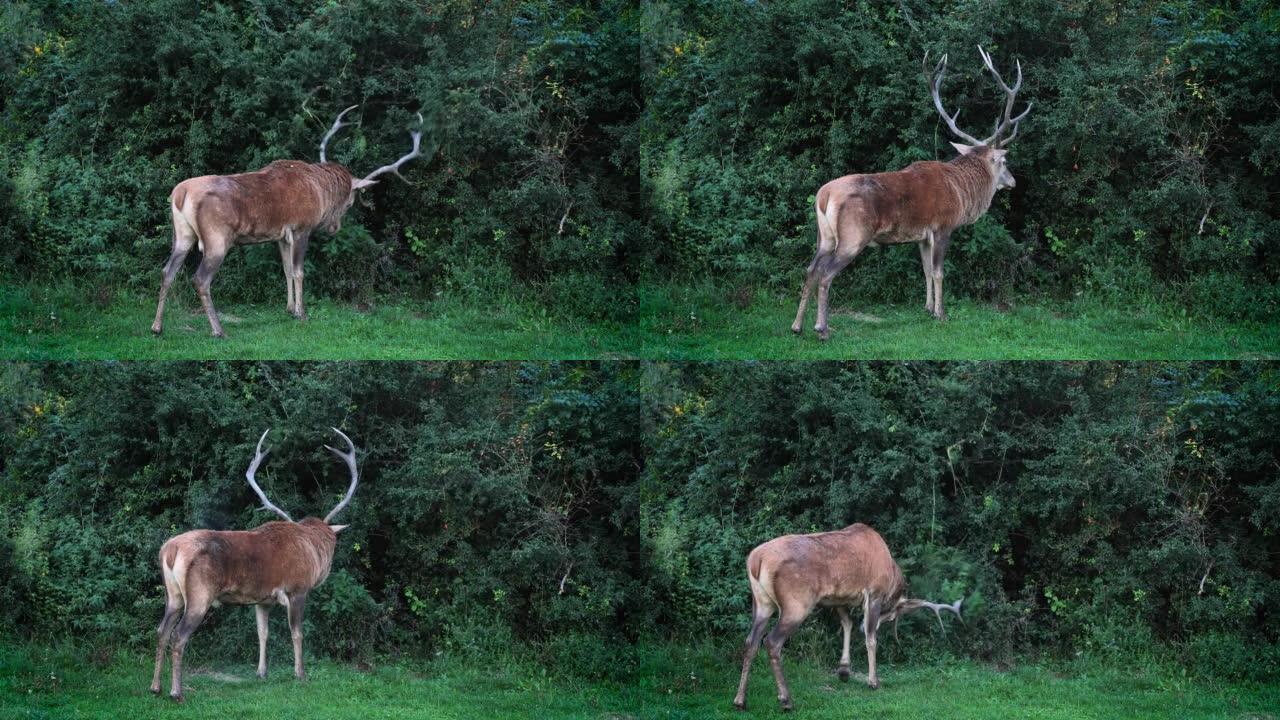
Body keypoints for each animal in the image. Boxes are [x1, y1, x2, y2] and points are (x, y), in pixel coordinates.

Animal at [150, 427, 360, 696]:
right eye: (333, 543)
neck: (313, 550)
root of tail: (170, 550)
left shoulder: (263, 600)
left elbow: (262, 633)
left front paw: (261, 672)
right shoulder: (297, 589)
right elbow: (297, 633)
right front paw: (300, 674)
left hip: (172, 594)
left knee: (162, 631)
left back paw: (155, 687)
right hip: (199, 595)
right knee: (179, 635)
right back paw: (177, 692)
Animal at [152, 107, 424, 338]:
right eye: (350, 201)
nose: (335, 228)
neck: (320, 192)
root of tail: (180, 194)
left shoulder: (281, 235)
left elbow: (286, 269)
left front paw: (290, 308)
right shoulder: (302, 228)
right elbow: (299, 271)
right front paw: (302, 314)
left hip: (182, 235)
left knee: (167, 271)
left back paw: (157, 327)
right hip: (216, 238)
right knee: (200, 279)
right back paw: (218, 330)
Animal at [732, 517, 962, 707]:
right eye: (891, 615)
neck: (891, 574)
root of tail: (756, 560)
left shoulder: (837, 597)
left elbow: (847, 624)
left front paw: (844, 670)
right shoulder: (874, 592)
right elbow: (871, 638)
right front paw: (873, 681)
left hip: (761, 603)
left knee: (750, 641)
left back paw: (740, 700)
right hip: (796, 603)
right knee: (771, 641)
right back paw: (786, 699)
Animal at [788, 47, 1029, 338]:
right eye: (1004, 162)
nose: (1013, 182)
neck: (962, 193)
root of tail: (824, 197)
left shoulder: (922, 236)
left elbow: (926, 271)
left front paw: (927, 308)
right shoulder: (943, 226)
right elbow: (939, 272)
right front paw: (941, 314)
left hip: (824, 236)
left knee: (810, 269)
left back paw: (797, 326)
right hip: (853, 236)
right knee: (825, 274)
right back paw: (822, 328)